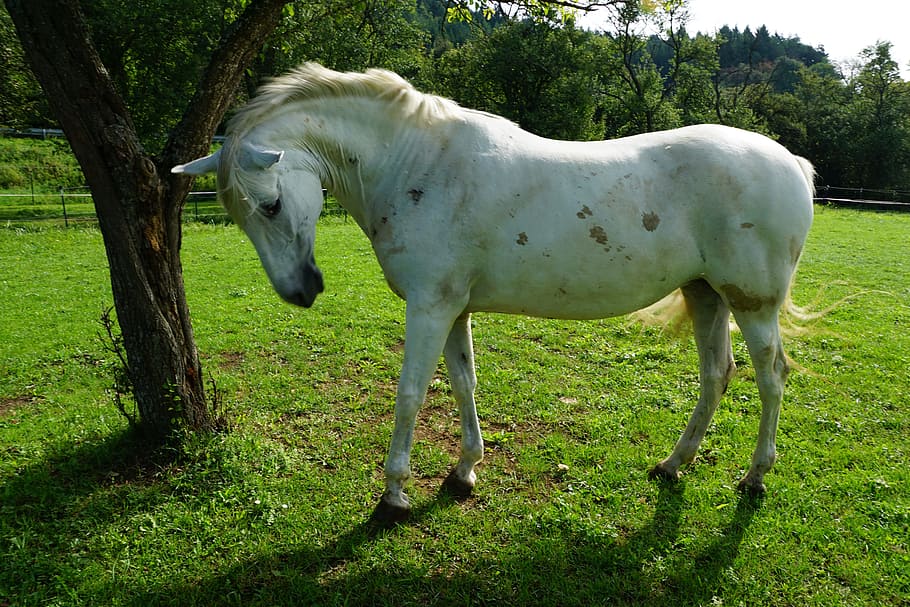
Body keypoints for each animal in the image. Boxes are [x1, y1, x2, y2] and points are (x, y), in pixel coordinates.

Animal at [175, 65, 816, 524]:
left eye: (271, 204)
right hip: (705, 293)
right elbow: (463, 384)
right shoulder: (453, 308)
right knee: (716, 375)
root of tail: (793, 161)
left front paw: (394, 496)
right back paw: (673, 464)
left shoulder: (429, 307)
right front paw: (463, 473)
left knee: (771, 378)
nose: (300, 291)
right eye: (241, 214)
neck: (417, 165)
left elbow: (409, 395)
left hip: (751, 303)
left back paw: (756, 475)